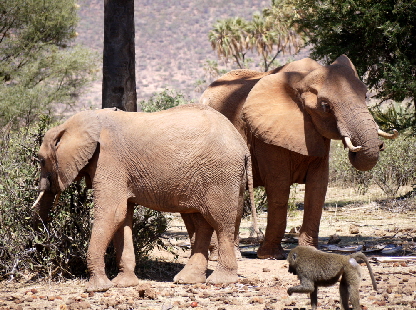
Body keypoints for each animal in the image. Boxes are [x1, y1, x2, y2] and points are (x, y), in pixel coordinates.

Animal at [31, 103, 256, 290]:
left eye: (40, 160)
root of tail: (242, 144)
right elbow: (123, 217)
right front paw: (123, 284)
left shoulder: (109, 160)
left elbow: (113, 213)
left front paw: (98, 288)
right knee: (200, 223)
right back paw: (187, 280)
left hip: (220, 174)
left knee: (221, 222)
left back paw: (219, 281)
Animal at [197, 55, 398, 260]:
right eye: (325, 106)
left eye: (365, 96)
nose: (379, 145)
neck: (301, 80)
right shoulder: (266, 138)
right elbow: (279, 187)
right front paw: (271, 255)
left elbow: (318, 188)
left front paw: (310, 251)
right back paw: (221, 256)